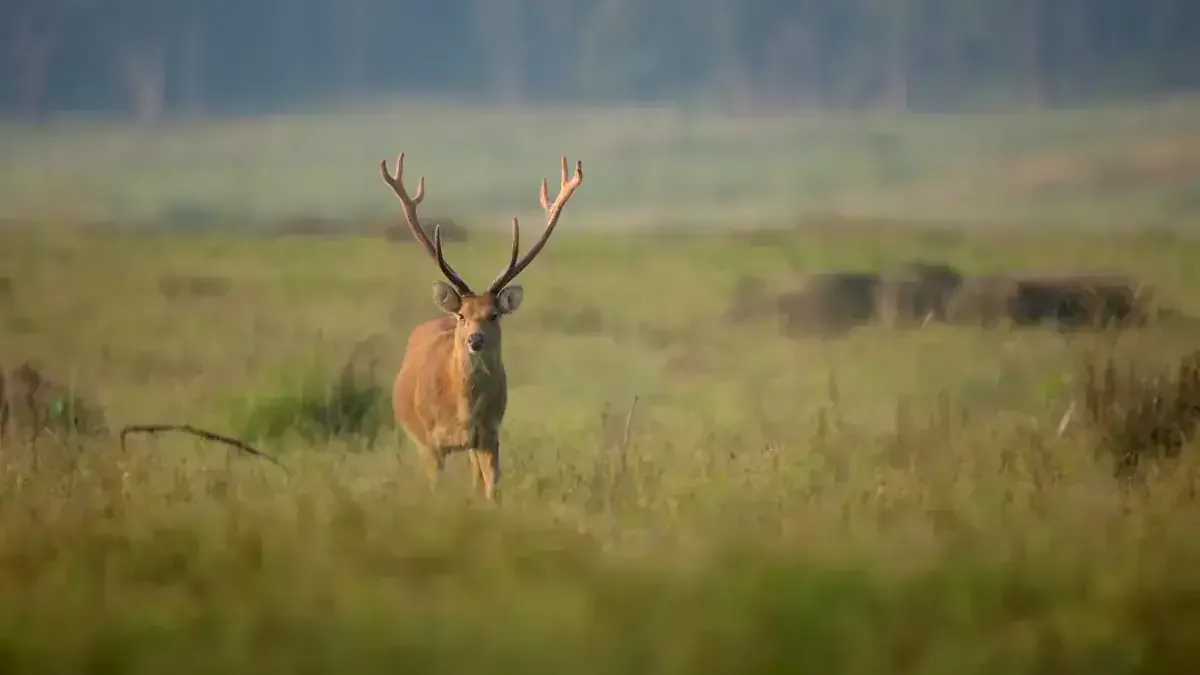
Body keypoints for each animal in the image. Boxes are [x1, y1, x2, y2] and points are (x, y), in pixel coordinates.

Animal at [379, 151, 584, 502]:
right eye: (462, 315)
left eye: (494, 314)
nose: (475, 340)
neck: (461, 412)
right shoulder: (431, 444)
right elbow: (435, 489)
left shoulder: (491, 436)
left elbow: (491, 491)